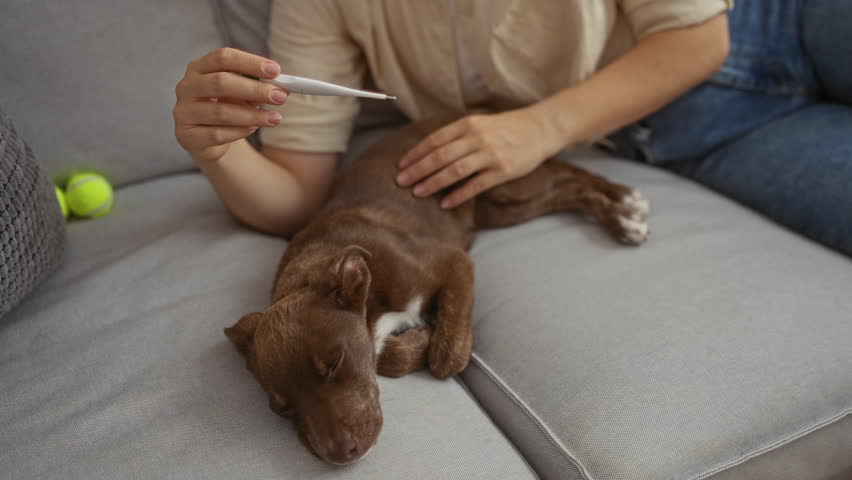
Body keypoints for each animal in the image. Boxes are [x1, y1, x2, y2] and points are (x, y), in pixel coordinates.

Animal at [223, 116, 648, 464]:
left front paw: (433, 338)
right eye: (282, 409)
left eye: (335, 364)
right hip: (500, 207)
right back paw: (622, 211)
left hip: (507, 180)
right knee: (567, 191)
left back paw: (625, 206)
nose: (340, 456)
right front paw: (414, 339)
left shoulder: (455, 262)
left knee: (570, 174)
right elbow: (389, 356)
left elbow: (448, 356)